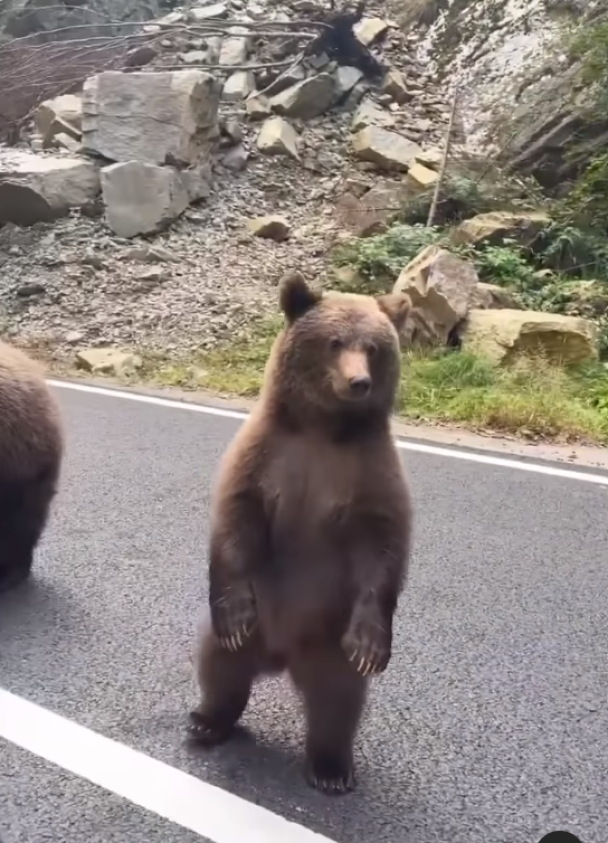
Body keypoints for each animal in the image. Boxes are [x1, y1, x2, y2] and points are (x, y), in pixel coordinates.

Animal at [189, 272, 414, 796]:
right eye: (334, 342)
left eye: (373, 347)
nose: (358, 381)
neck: (322, 430)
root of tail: (281, 655)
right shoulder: (265, 454)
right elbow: (236, 518)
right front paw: (234, 612)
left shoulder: (369, 471)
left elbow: (384, 545)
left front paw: (373, 646)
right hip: (251, 628)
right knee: (219, 662)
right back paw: (208, 721)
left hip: (330, 642)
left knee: (338, 702)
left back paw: (330, 768)